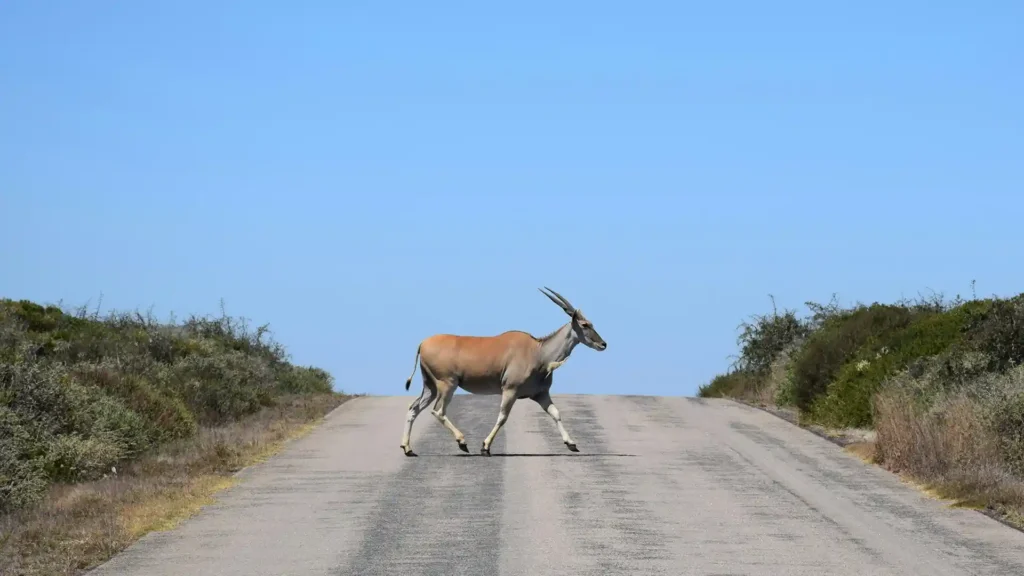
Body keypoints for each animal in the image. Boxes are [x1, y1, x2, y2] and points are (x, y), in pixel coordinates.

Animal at [397, 284, 606, 455]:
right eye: (585, 324)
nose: (603, 344)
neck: (539, 352)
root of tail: (422, 344)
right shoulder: (510, 390)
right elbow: (503, 417)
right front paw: (485, 447)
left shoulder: (541, 394)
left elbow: (556, 413)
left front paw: (571, 444)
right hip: (447, 384)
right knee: (438, 411)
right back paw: (462, 442)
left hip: (430, 386)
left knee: (414, 408)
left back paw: (408, 448)